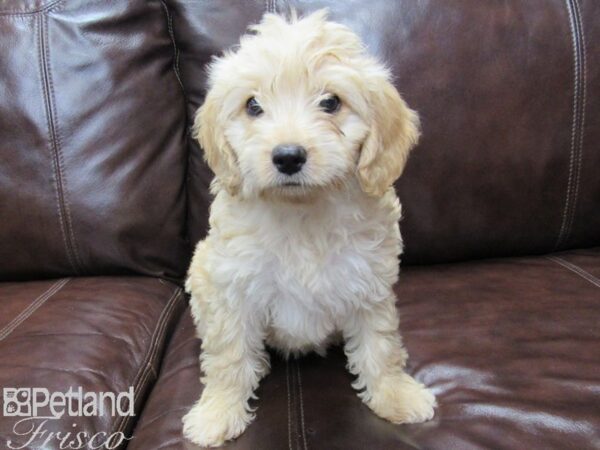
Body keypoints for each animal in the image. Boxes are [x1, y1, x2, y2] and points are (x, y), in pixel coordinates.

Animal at [183, 9, 436, 446]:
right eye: (253, 105)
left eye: (330, 102)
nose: (288, 156)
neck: (302, 214)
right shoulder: (232, 287)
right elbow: (228, 355)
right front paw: (218, 413)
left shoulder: (369, 283)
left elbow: (380, 344)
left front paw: (395, 395)